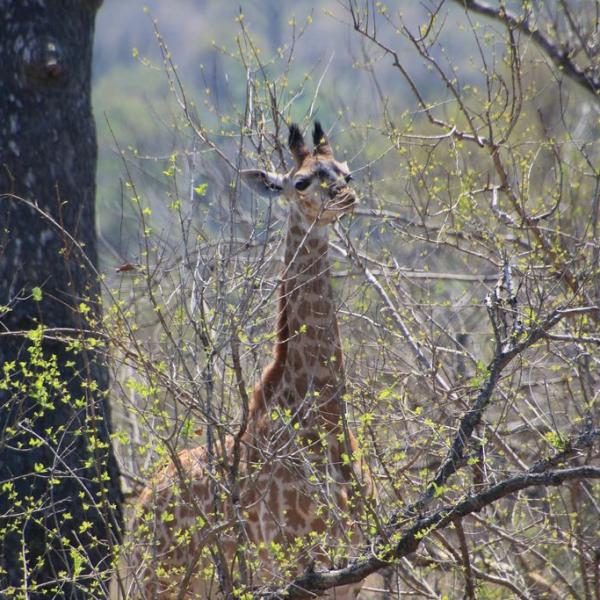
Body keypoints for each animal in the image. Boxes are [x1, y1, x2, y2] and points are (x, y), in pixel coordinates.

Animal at [126, 120, 370, 596]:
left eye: (345, 173)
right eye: (301, 182)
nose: (346, 198)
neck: (325, 421)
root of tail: (142, 507)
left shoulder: (353, 576)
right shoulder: (298, 569)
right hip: (162, 580)